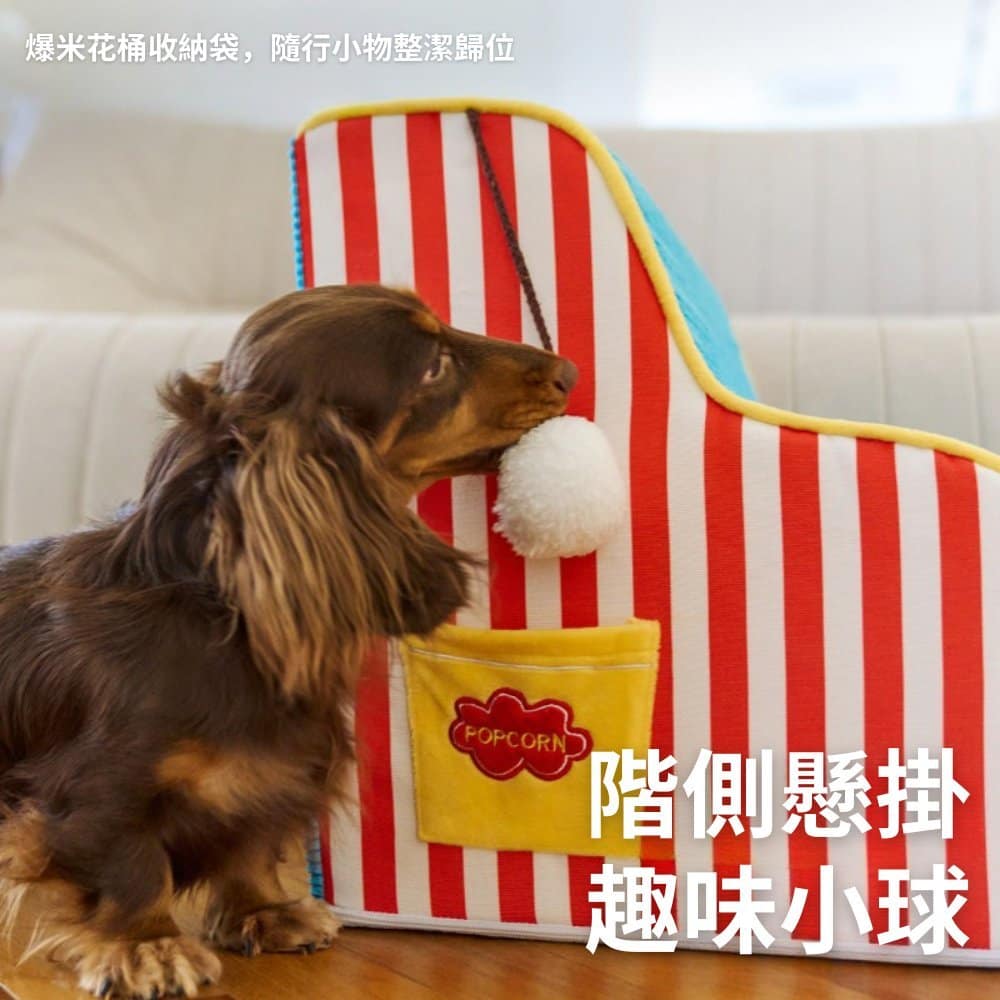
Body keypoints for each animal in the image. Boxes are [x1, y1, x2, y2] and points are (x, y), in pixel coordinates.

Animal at [0, 284, 577, 997]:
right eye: (433, 365)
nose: (568, 371)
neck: (221, 612)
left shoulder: (278, 774)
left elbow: (251, 842)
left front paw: (266, 910)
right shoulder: (96, 789)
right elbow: (132, 866)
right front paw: (146, 945)